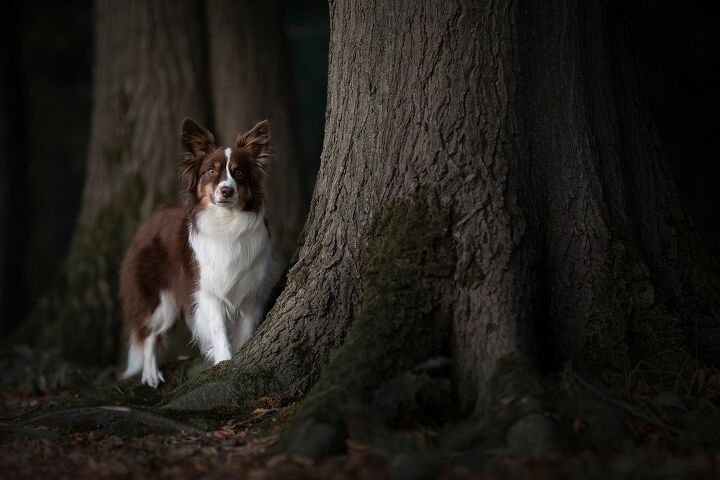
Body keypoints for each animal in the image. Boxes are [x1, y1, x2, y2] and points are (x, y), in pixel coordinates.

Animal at [118, 118, 276, 388]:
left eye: (239, 173)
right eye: (211, 171)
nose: (226, 191)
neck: (226, 222)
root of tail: (152, 217)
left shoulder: (251, 295)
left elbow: (244, 335)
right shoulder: (207, 292)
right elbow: (218, 332)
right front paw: (224, 363)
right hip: (162, 300)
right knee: (149, 334)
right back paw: (150, 374)